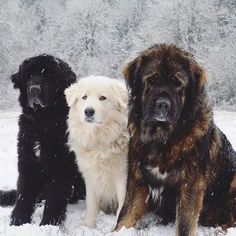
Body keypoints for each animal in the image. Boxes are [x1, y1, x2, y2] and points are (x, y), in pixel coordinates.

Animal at [0, 54, 85, 226]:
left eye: (48, 76)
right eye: (29, 76)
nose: (34, 89)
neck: (43, 122)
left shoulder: (59, 166)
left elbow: (55, 198)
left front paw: (49, 223)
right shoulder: (27, 161)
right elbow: (23, 194)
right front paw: (18, 221)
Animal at [64, 75, 129, 227]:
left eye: (103, 98)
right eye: (84, 97)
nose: (88, 111)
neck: (99, 141)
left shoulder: (122, 176)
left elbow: (122, 205)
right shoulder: (91, 177)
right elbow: (91, 205)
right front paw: (88, 226)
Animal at [115, 43, 236, 234]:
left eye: (177, 84)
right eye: (152, 81)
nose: (163, 105)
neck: (164, 138)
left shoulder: (191, 184)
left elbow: (185, 223)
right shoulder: (138, 179)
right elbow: (125, 216)